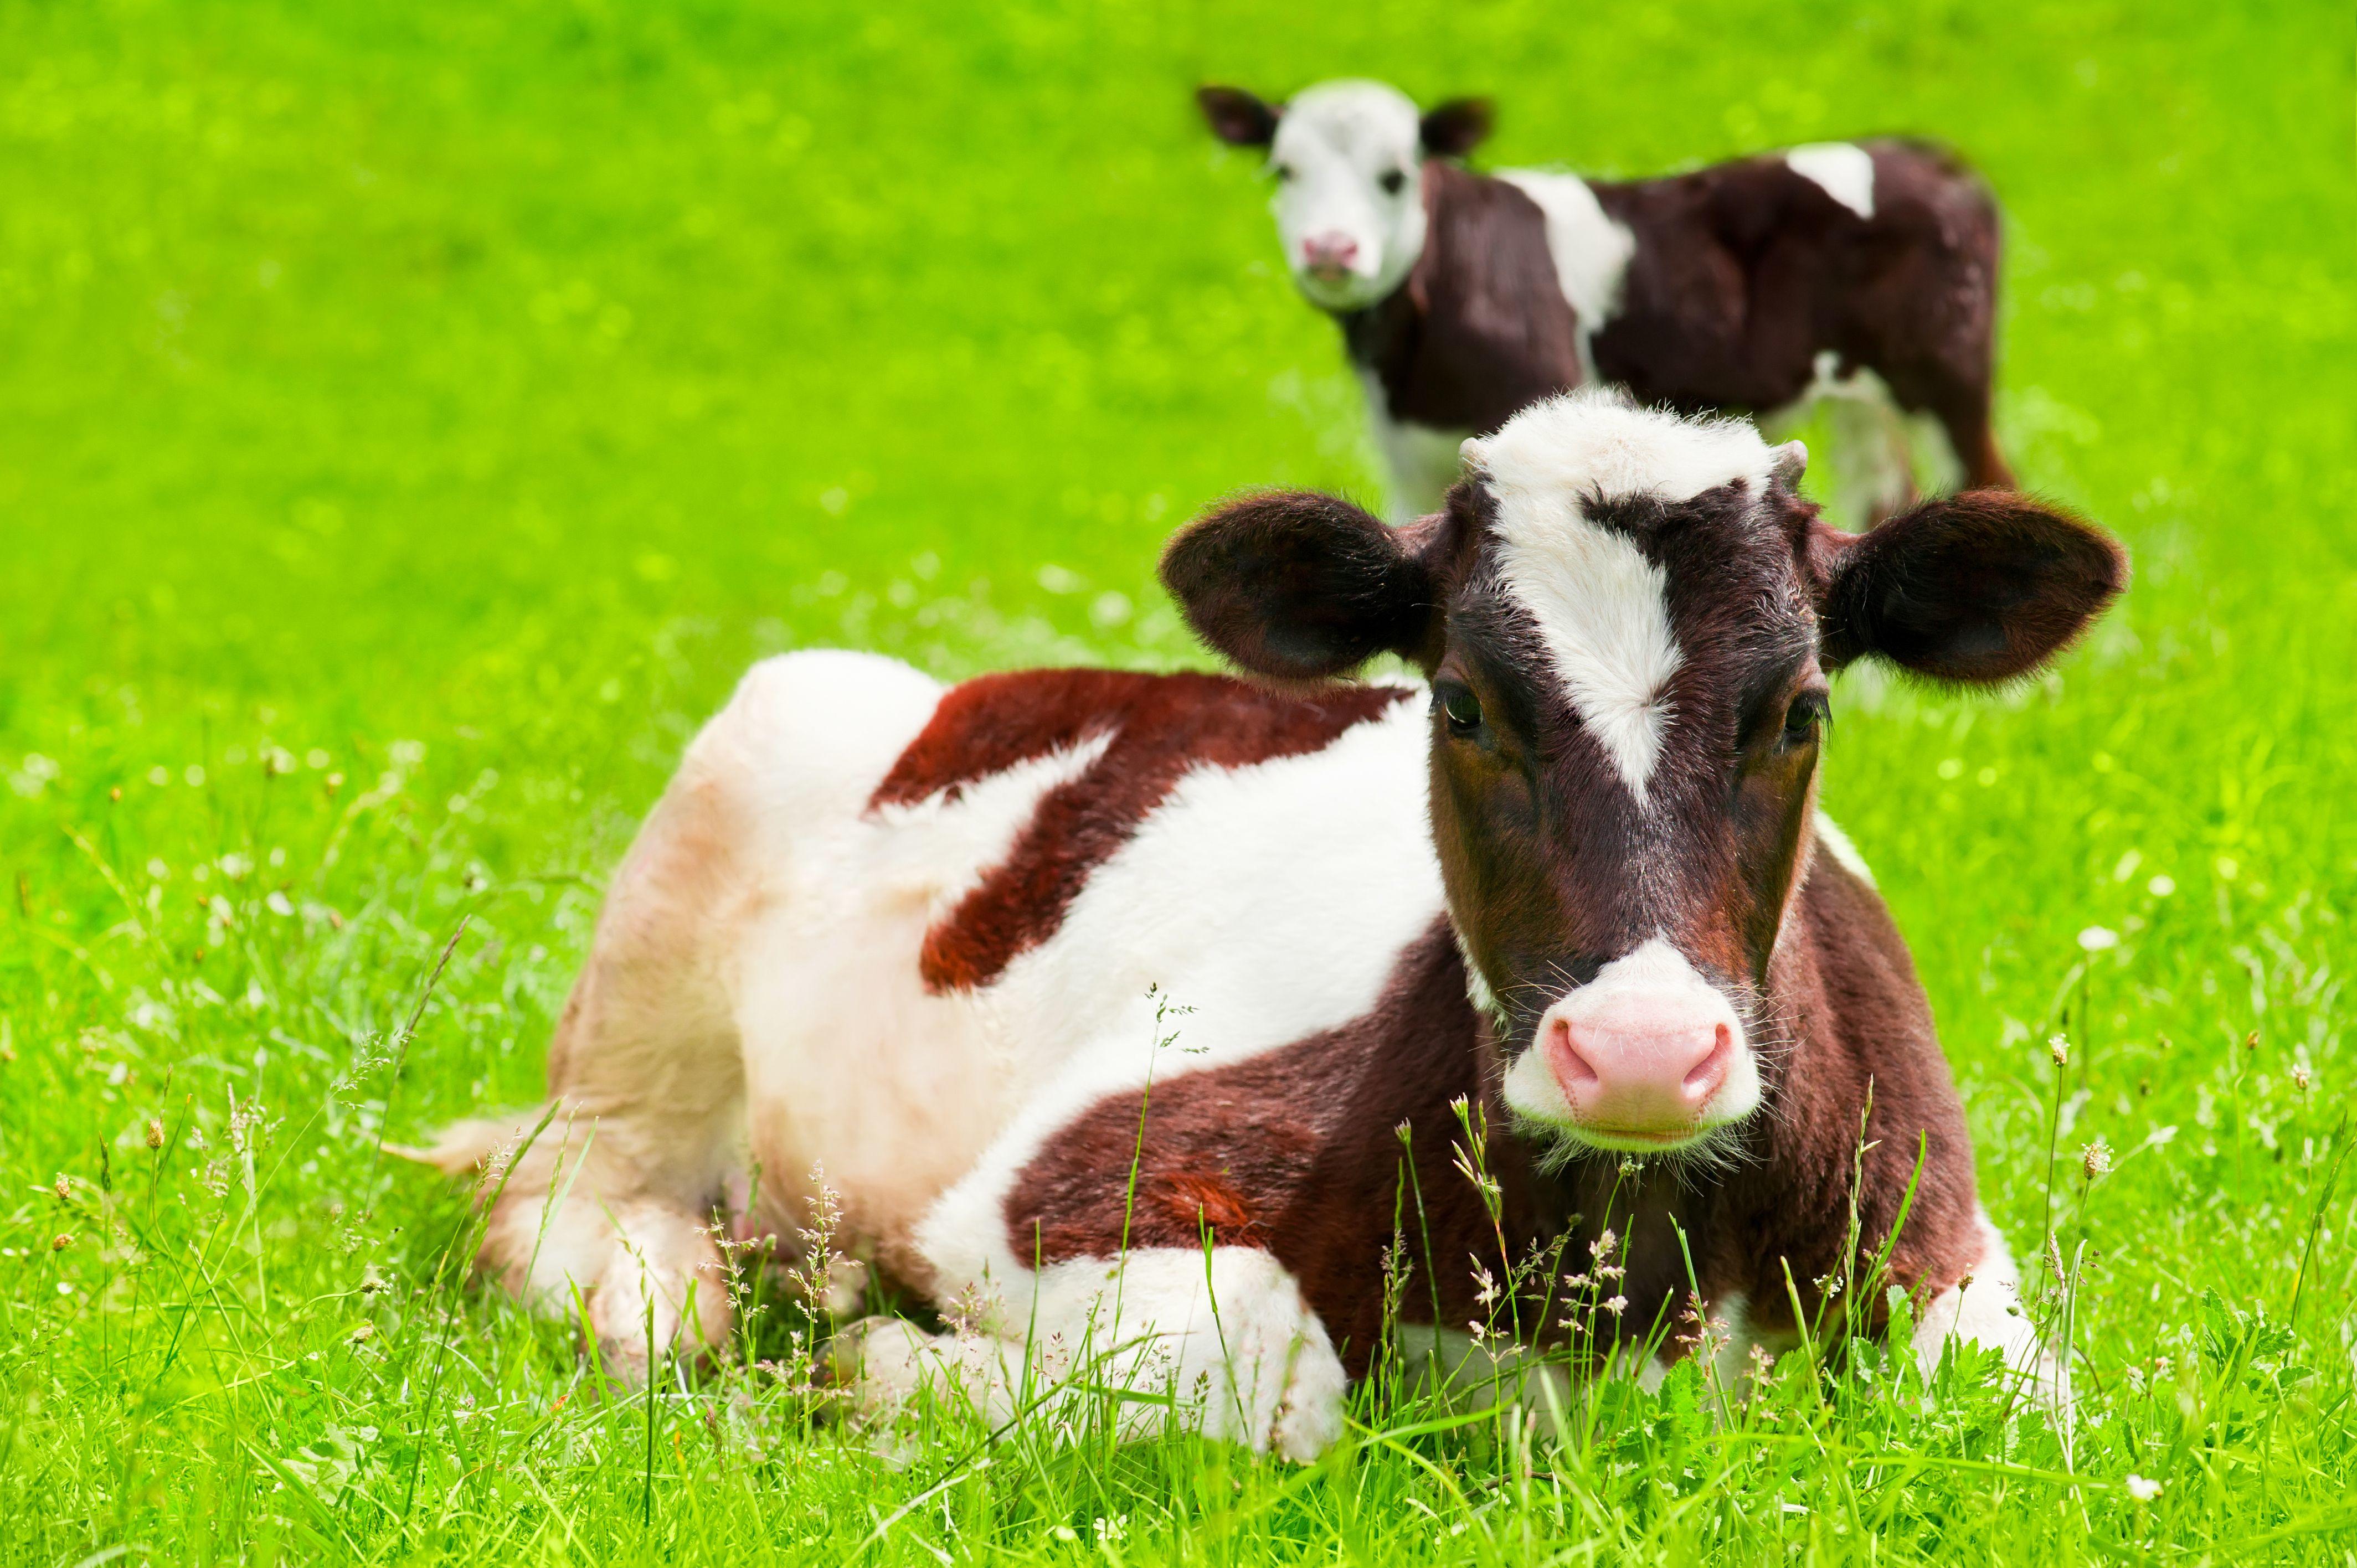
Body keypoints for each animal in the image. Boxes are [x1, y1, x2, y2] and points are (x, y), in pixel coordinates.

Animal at [424, 391, 2121, 1452]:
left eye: (1800, 710)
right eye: (1461, 702)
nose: (1641, 1051)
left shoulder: (1939, 1244)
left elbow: (2013, 1409)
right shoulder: (1053, 1193)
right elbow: (1277, 1376)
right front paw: (883, 1367)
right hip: (704, 861)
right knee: (559, 1176)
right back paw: (668, 1288)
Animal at [1207, 80, 2018, 518]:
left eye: (1396, 175)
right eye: (1283, 170)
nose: (1330, 250)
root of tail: (1924, 152)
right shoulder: (1405, 454)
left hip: (1944, 374)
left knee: (1990, 483)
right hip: (1858, 399)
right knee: (1880, 498)